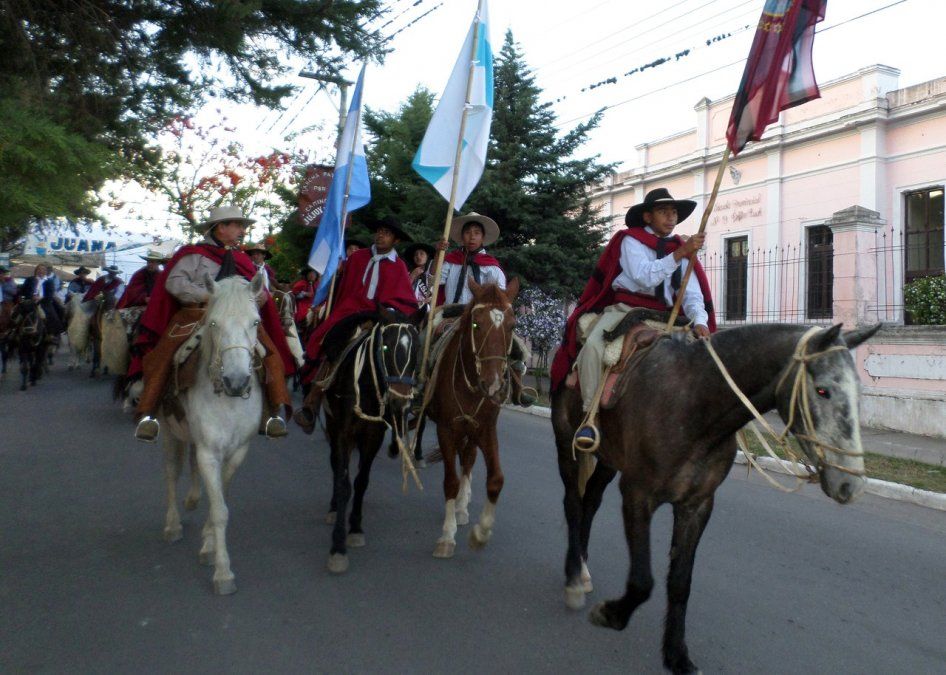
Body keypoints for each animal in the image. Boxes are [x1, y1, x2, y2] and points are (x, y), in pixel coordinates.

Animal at [159, 271, 268, 595]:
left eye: (255, 322)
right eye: (214, 324)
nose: (236, 381)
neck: (227, 400)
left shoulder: (237, 451)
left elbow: (220, 496)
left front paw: (208, 544)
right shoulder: (209, 452)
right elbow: (220, 509)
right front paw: (223, 572)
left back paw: (193, 500)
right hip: (169, 432)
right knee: (172, 472)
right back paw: (172, 525)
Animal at [318, 307, 424, 574]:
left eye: (417, 348)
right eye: (385, 347)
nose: (400, 401)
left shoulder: (373, 437)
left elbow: (361, 482)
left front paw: (355, 528)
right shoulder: (343, 433)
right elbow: (344, 483)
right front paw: (338, 546)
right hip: (332, 426)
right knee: (335, 466)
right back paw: (333, 508)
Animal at [418, 278, 520, 559]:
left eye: (512, 325)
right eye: (476, 324)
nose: (493, 384)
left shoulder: (485, 428)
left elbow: (495, 479)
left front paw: (480, 533)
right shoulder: (446, 429)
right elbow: (450, 482)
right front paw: (447, 536)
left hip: (471, 430)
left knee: (468, 458)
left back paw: (463, 507)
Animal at [550, 321, 881, 674]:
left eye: (859, 392)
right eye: (822, 391)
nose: (850, 485)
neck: (694, 406)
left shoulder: (697, 505)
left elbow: (680, 582)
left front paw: (677, 655)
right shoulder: (637, 496)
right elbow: (642, 581)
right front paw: (610, 614)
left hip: (608, 460)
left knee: (590, 501)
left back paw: (582, 567)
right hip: (567, 447)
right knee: (573, 505)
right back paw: (573, 577)